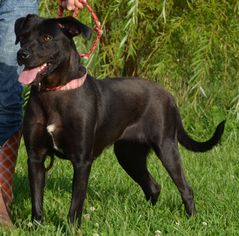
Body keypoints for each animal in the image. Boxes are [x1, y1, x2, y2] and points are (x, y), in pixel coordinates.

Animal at [14, 14, 224, 225]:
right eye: (23, 36)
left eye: (47, 38)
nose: (22, 54)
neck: (54, 92)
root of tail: (169, 96)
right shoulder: (35, 157)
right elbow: (36, 199)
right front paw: (36, 226)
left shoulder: (82, 160)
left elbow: (76, 203)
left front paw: (72, 227)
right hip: (129, 154)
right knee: (153, 186)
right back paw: (146, 216)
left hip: (166, 147)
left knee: (185, 188)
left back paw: (192, 219)